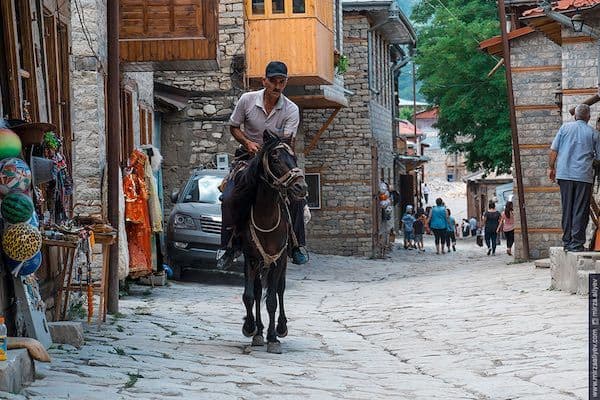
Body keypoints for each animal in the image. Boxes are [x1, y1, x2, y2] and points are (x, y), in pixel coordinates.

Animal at [237, 131, 308, 354]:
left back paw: (280, 328)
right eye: (275, 159)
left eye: (294, 158)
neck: (265, 216)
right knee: (259, 290)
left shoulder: (279, 259)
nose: (301, 187)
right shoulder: (250, 258)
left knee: (279, 290)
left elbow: (272, 300)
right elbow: (250, 295)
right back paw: (259, 330)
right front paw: (251, 328)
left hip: (282, 262)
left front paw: (273, 338)